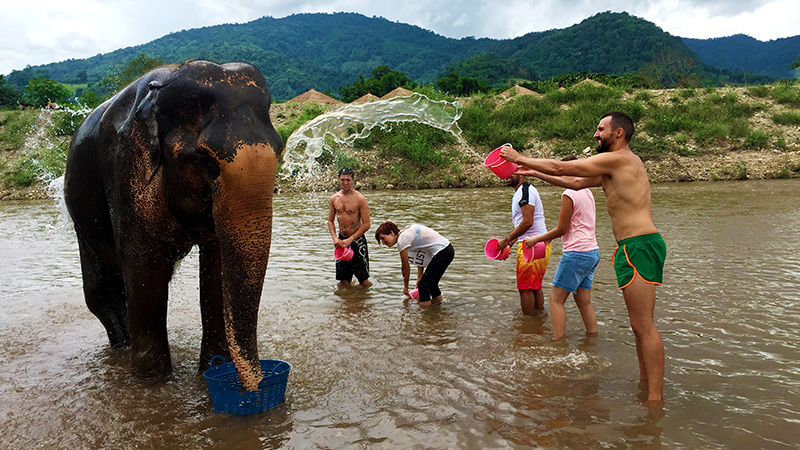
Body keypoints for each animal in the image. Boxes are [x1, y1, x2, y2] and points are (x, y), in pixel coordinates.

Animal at [64, 60, 283, 391]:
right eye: (205, 161)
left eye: (280, 150)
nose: (257, 387)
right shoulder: (124, 168)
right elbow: (144, 267)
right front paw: (152, 386)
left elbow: (216, 266)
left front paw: (212, 370)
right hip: (81, 216)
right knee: (100, 290)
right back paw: (123, 347)